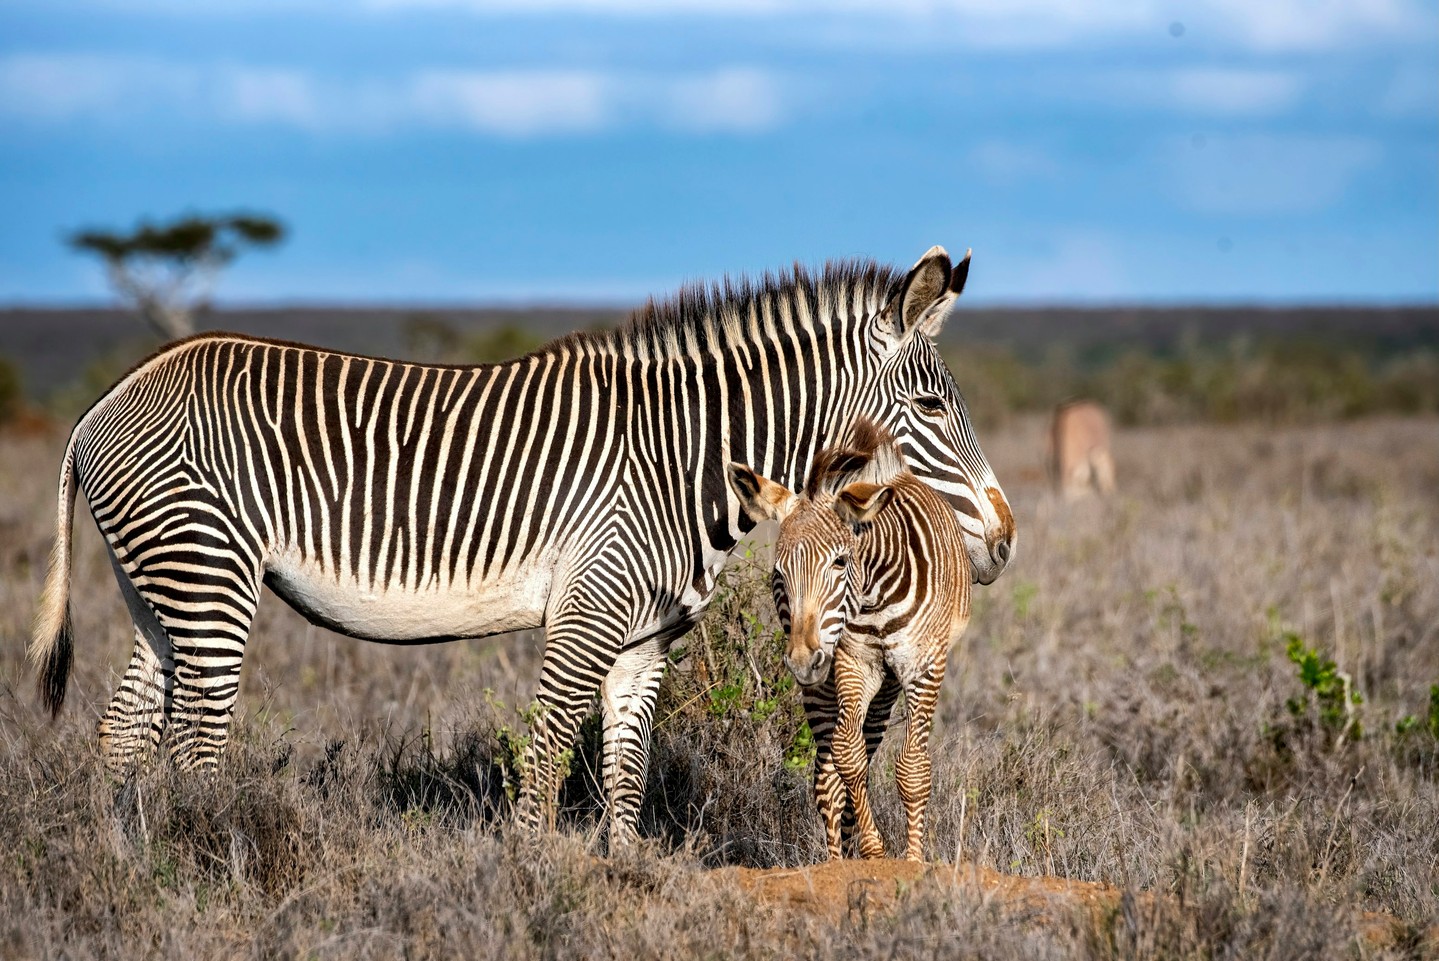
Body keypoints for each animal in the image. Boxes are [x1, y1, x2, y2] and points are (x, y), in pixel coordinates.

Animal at [727, 417, 970, 861]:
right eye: (778, 572)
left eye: (840, 562)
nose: (802, 661)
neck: (874, 593)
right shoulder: (850, 662)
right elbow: (847, 756)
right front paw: (873, 850)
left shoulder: (923, 664)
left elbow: (913, 768)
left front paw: (913, 860)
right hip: (826, 681)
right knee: (827, 779)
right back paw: (835, 859)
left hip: (885, 682)